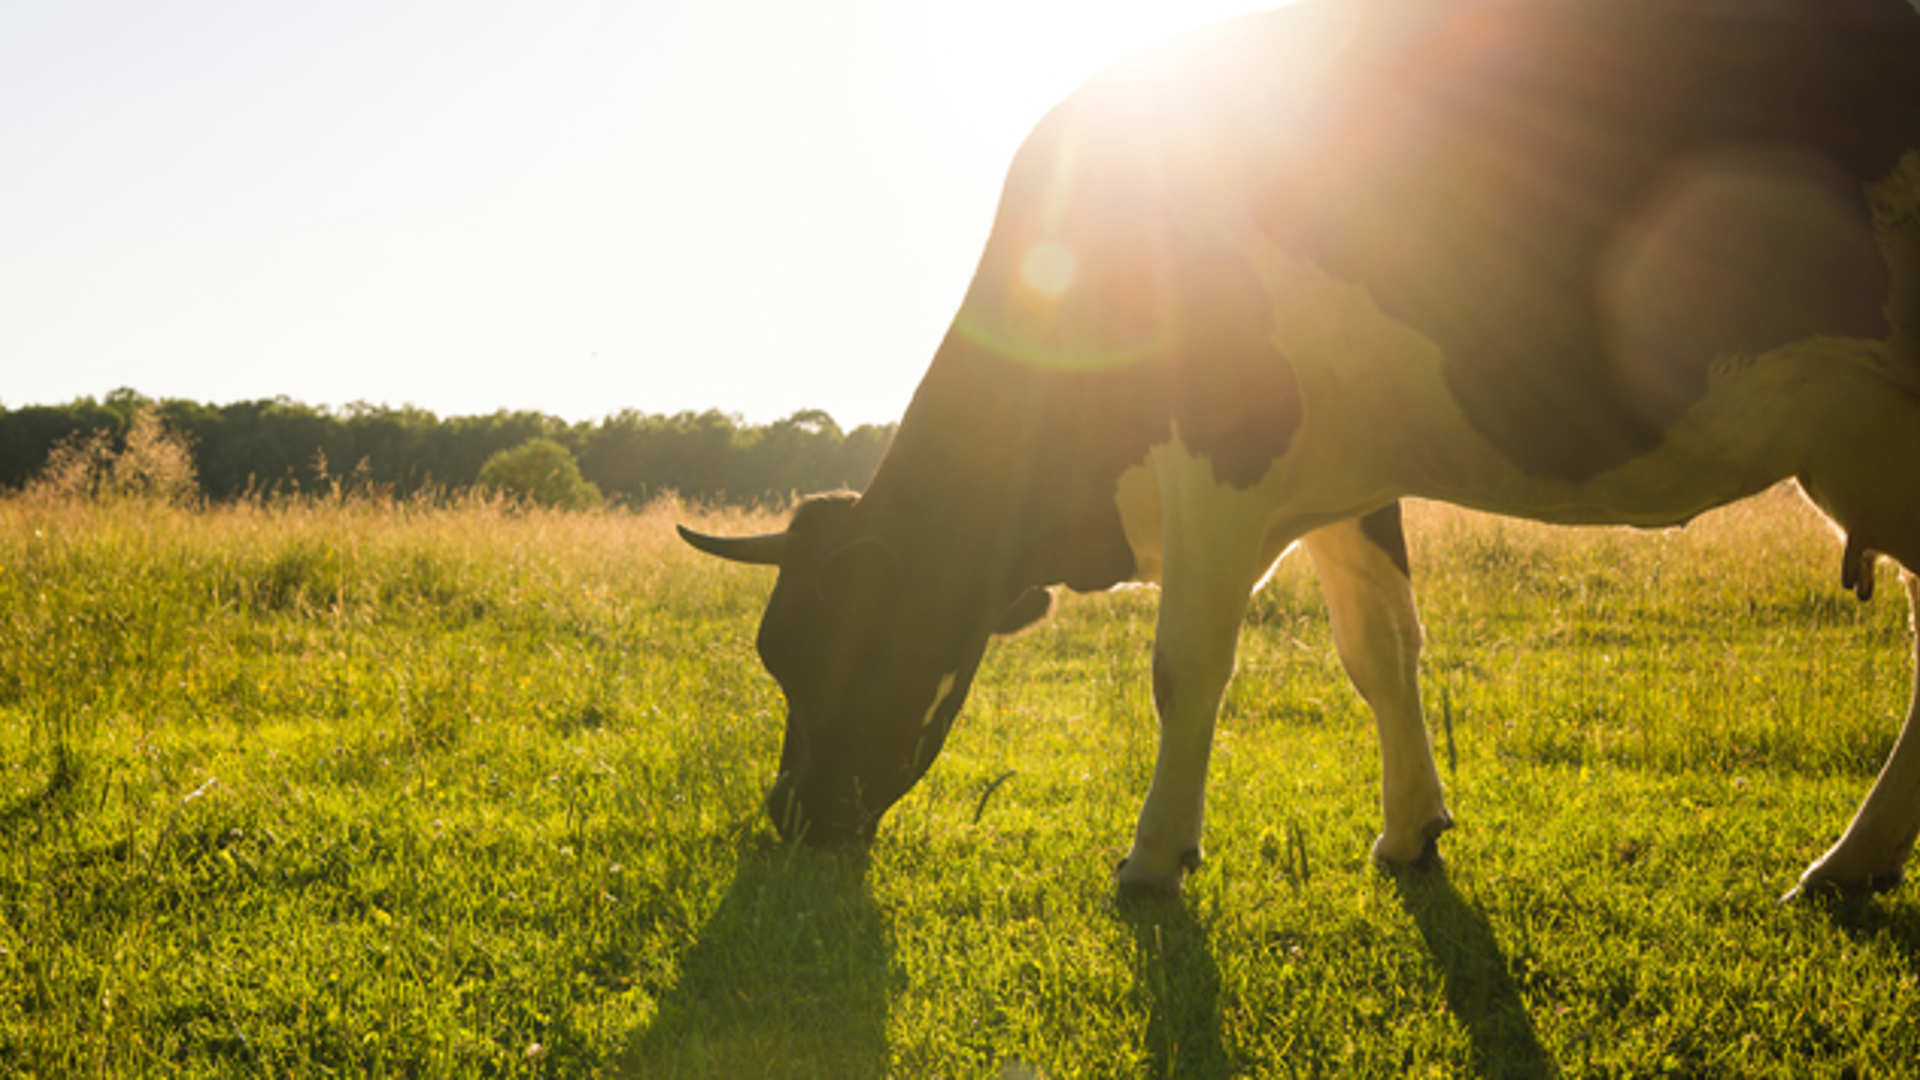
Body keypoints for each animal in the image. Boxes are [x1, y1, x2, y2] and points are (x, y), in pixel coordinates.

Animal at [680, 0, 1920, 900]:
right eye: (773, 656)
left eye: (845, 646)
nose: (789, 818)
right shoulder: (1348, 480)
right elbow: (1382, 649)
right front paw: (1411, 831)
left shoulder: (1222, 444)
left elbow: (1185, 666)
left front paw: (1152, 858)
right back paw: (1853, 866)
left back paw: (1845, 863)